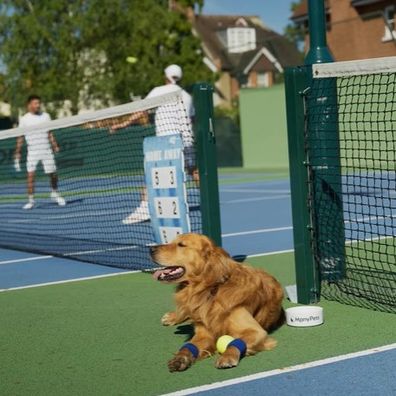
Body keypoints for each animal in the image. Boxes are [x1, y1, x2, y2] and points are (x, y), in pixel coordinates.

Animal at [149, 232, 284, 372]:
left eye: (181, 245)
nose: (150, 249)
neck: (211, 289)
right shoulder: (203, 333)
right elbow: (188, 346)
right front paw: (180, 358)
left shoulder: (256, 331)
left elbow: (234, 343)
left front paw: (227, 357)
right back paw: (172, 317)